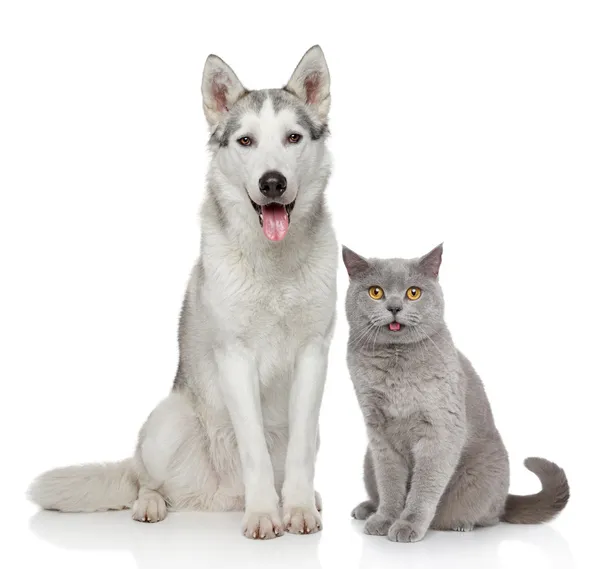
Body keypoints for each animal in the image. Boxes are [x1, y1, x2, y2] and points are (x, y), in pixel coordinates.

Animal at [30, 46, 338, 540]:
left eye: (293, 137)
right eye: (246, 142)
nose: (272, 182)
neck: (274, 266)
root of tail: (218, 498)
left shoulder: (314, 353)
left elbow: (300, 453)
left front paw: (298, 509)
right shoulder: (235, 356)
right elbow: (253, 448)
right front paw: (263, 515)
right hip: (167, 422)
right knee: (145, 480)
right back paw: (155, 504)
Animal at [342, 243, 568, 540]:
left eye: (413, 292)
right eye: (375, 291)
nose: (394, 307)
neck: (396, 362)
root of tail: (507, 499)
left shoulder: (439, 429)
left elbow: (423, 487)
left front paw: (407, 525)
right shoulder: (379, 434)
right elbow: (390, 482)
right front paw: (386, 519)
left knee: (491, 516)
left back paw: (464, 524)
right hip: (368, 460)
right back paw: (367, 509)